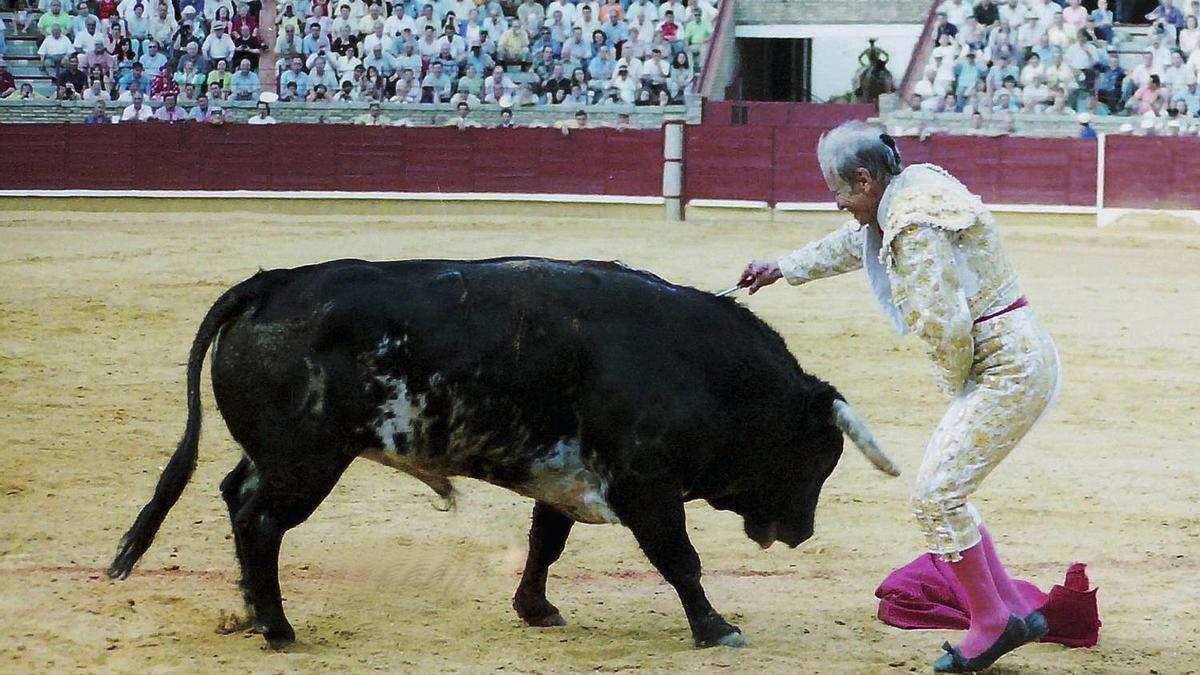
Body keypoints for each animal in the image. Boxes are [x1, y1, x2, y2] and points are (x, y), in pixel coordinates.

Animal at [108, 255, 897, 648]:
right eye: (815, 458)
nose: (802, 532)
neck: (699, 367)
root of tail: (267, 286)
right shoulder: (644, 483)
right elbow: (680, 558)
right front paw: (716, 629)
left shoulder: (568, 478)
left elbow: (545, 542)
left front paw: (535, 609)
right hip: (305, 464)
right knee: (261, 521)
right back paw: (277, 628)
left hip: (277, 457)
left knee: (236, 495)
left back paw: (250, 613)